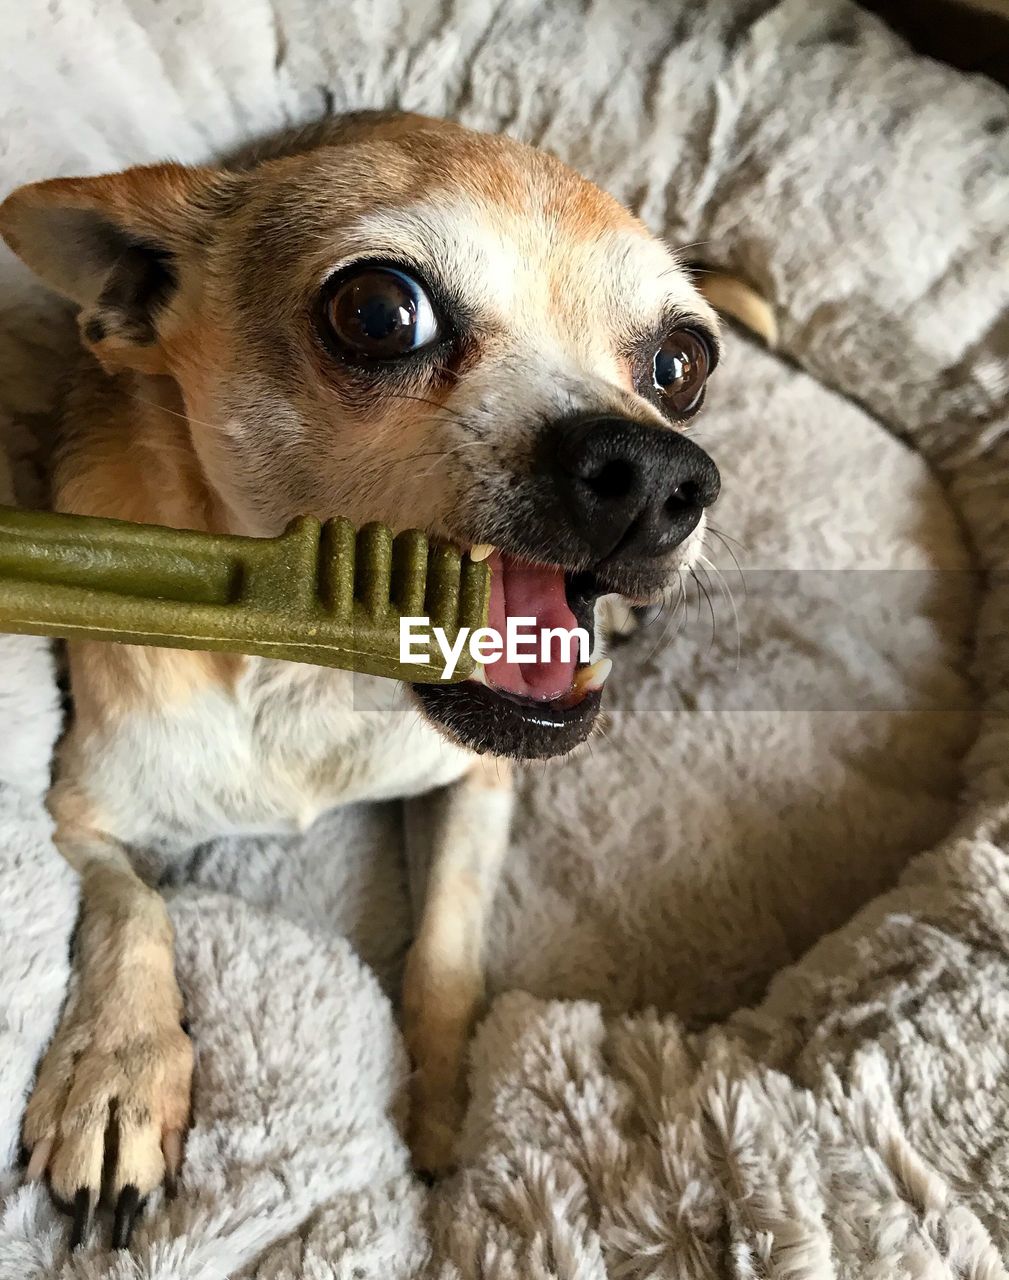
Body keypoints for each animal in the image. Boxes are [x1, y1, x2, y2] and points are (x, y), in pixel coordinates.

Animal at [0, 112, 727, 1249]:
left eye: (682, 363)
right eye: (381, 313)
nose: (659, 472)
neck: (309, 679)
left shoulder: (476, 784)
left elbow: (443, 954)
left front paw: (441, 1116)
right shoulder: (80, 817)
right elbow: (131, 909)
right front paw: (115, 1074)